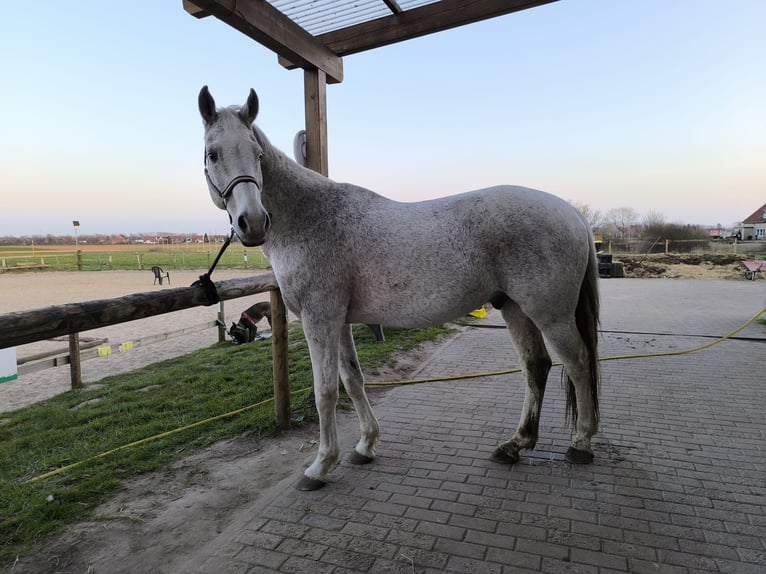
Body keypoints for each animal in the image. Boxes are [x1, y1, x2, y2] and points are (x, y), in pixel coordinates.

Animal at [197, 86, 600, 491]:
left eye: (258, 155)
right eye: (212, 153)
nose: (252, 222)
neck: (310, 218)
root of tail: (573, 214)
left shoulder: (319, 320)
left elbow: (325, 392)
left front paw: (320, 466)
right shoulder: (340, 322)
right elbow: (353, 380)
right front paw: (365, 445)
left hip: (551, 314)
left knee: (579, 362)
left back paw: (580, 443)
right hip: (515, 308)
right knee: (536, 366)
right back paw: (515, 445)